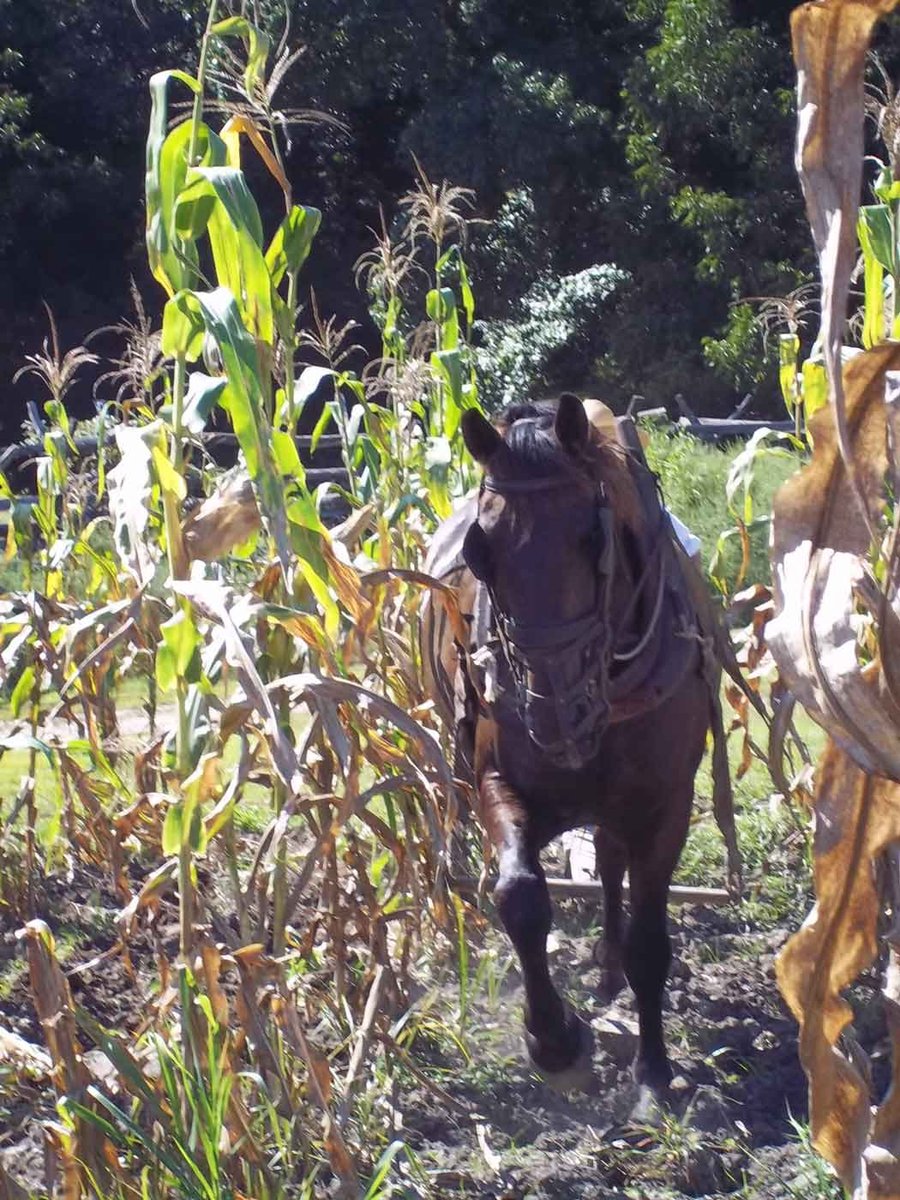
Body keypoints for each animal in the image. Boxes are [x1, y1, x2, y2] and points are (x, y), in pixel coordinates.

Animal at [427, 398, 715, 1099]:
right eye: (479, 550)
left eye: (594, 538)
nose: (555, 715)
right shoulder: (495, 781)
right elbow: (520, 897)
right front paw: (554, 1040)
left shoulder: (667, 805)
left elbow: (650, 939)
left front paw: (653, 1071)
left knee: (612, 866)